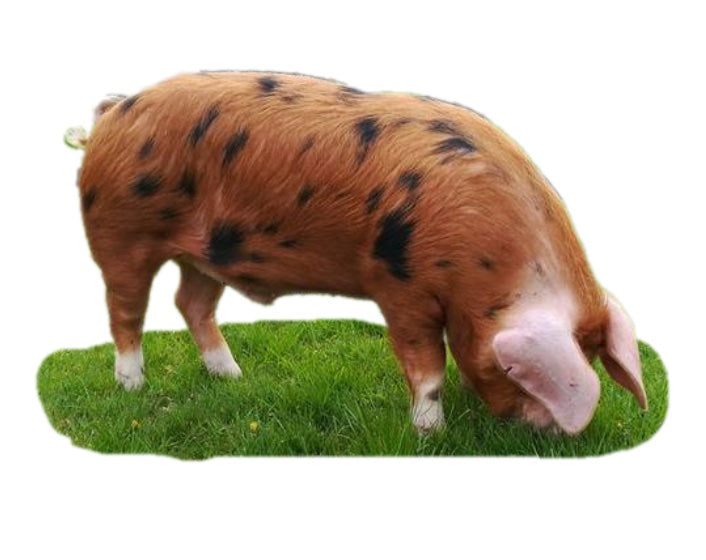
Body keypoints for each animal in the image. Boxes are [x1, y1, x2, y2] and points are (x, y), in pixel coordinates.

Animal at [75, 70, 647, 435]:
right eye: (512, 370)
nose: (552, 433)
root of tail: (114, 111)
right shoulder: (402, 285)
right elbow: (426, 365)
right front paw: (431, 434)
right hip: (119, 232)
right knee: (124, 310)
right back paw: (133, 386)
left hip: (206, 252)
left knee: (190, 304)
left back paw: (233, 376)